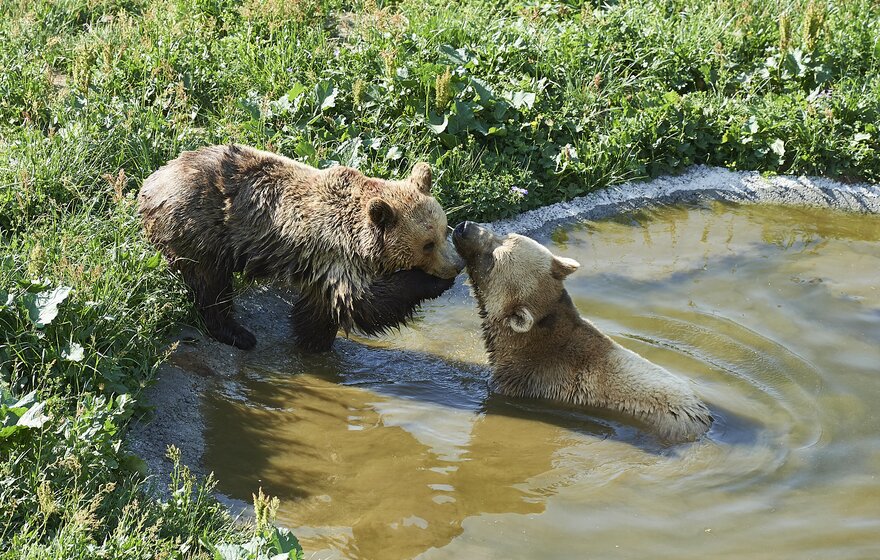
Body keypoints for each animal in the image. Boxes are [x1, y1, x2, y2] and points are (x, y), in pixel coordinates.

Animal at [138, 145, 460, 354]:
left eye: (444, 230)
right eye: (427, 244)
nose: (455, 265)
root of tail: (150, 182)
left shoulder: (323, 266)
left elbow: (320, 312)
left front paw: (316, 345)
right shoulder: (336, 253)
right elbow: (365, 304)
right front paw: (432, 282)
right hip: (198, 227)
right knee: (210, 284)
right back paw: (238, 334)